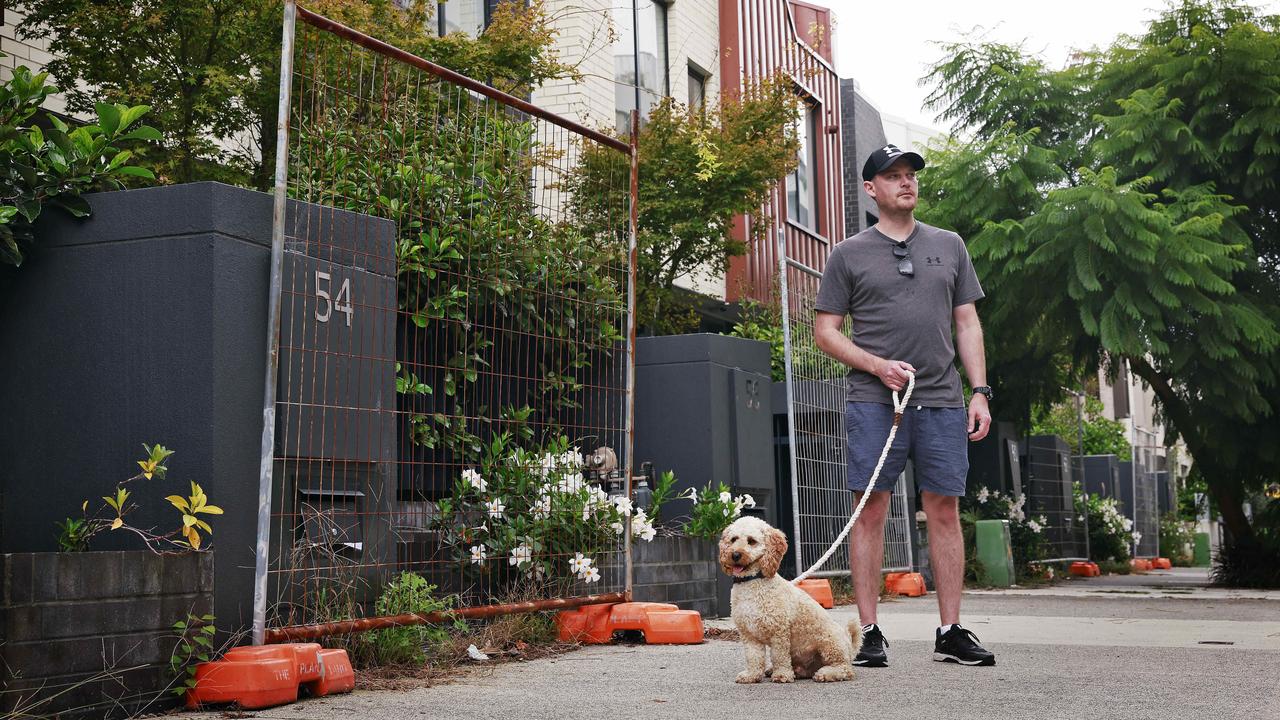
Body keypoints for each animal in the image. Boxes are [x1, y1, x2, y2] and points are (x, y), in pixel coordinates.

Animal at [721, 512, 860, 681]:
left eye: (751, 541)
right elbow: (753, 657)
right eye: (733, 539)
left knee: (845, 669)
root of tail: (849, 649)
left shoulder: (779, 632)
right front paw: (751, 675)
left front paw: (782, 675)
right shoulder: (749, 635)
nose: (735, 555)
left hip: (829, 642)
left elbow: (779, 656)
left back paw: (826, 673)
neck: (752, 582)